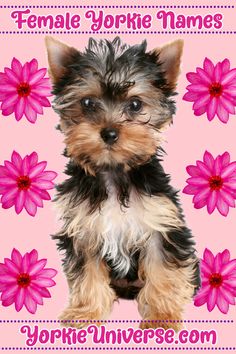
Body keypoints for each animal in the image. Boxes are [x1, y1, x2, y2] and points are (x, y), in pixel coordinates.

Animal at [45, 37, 199, 330]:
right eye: (88, 103)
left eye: (136, 105)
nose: (109, 132)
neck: (114, 174)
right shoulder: (84, 229)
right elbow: (87, 272)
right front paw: (86, 312)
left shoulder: (159, 223)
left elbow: (162, 269)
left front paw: (161, 318)